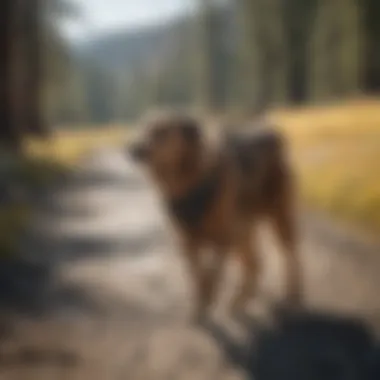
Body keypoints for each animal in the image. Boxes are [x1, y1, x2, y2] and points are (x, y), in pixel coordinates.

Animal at [129, 110, 304, 318]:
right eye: (143, 128)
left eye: (161, 131)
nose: (132, 149)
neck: (189, 184)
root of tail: (273, 134)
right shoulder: (187, 243)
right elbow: (199, 275)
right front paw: (200, 305)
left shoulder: (223, 240)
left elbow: (211, 274)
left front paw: (208, 299)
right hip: (243, 233)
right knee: (255, 264)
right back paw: (240, 301)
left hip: (279, 219)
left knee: (291, 257)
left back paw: (293, 295)